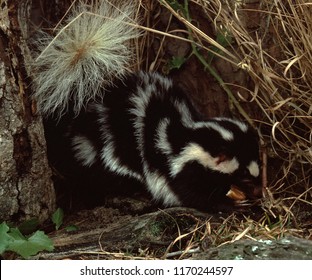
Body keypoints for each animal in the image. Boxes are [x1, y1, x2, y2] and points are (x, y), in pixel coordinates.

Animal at [32, 0, 260, 210]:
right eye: (244, 173)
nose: (259, 184)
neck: (187, 135)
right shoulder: (175, 167)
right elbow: (187, 193)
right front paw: (228, 204)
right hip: (112, 149)